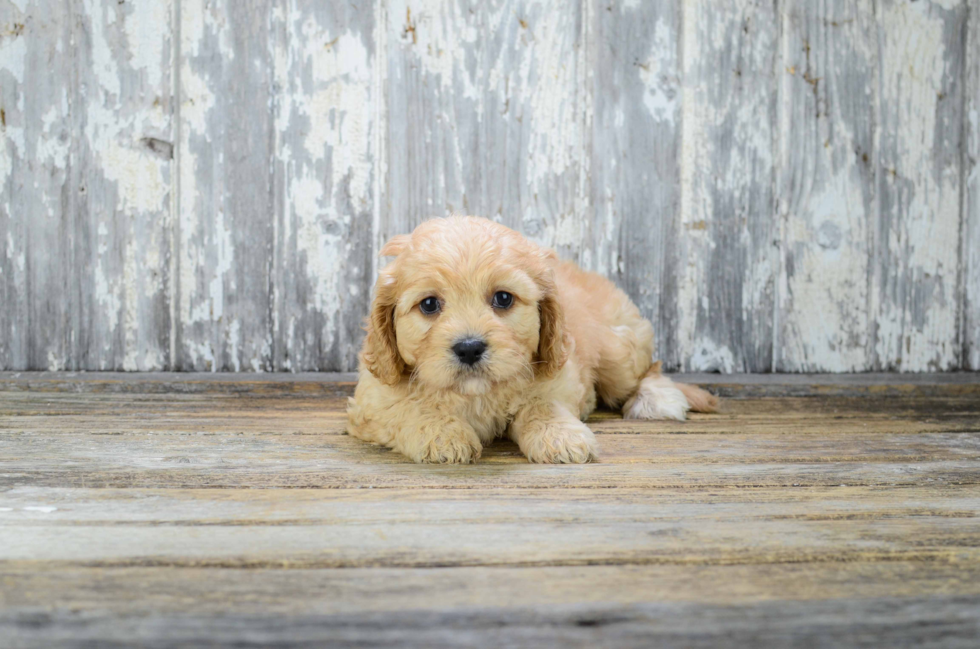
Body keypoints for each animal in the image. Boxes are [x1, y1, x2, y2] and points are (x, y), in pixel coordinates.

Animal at [348, 216, 716, 460]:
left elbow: (541, 404)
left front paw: (561, 437)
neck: (474, 394)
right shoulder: (373, 399)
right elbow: (407, 408)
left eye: (503, 299)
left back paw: (658, 399)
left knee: (646, 370)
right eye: (428, 304)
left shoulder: (559, 376)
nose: (469, 348)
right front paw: (442, 434)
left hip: (617, 352)